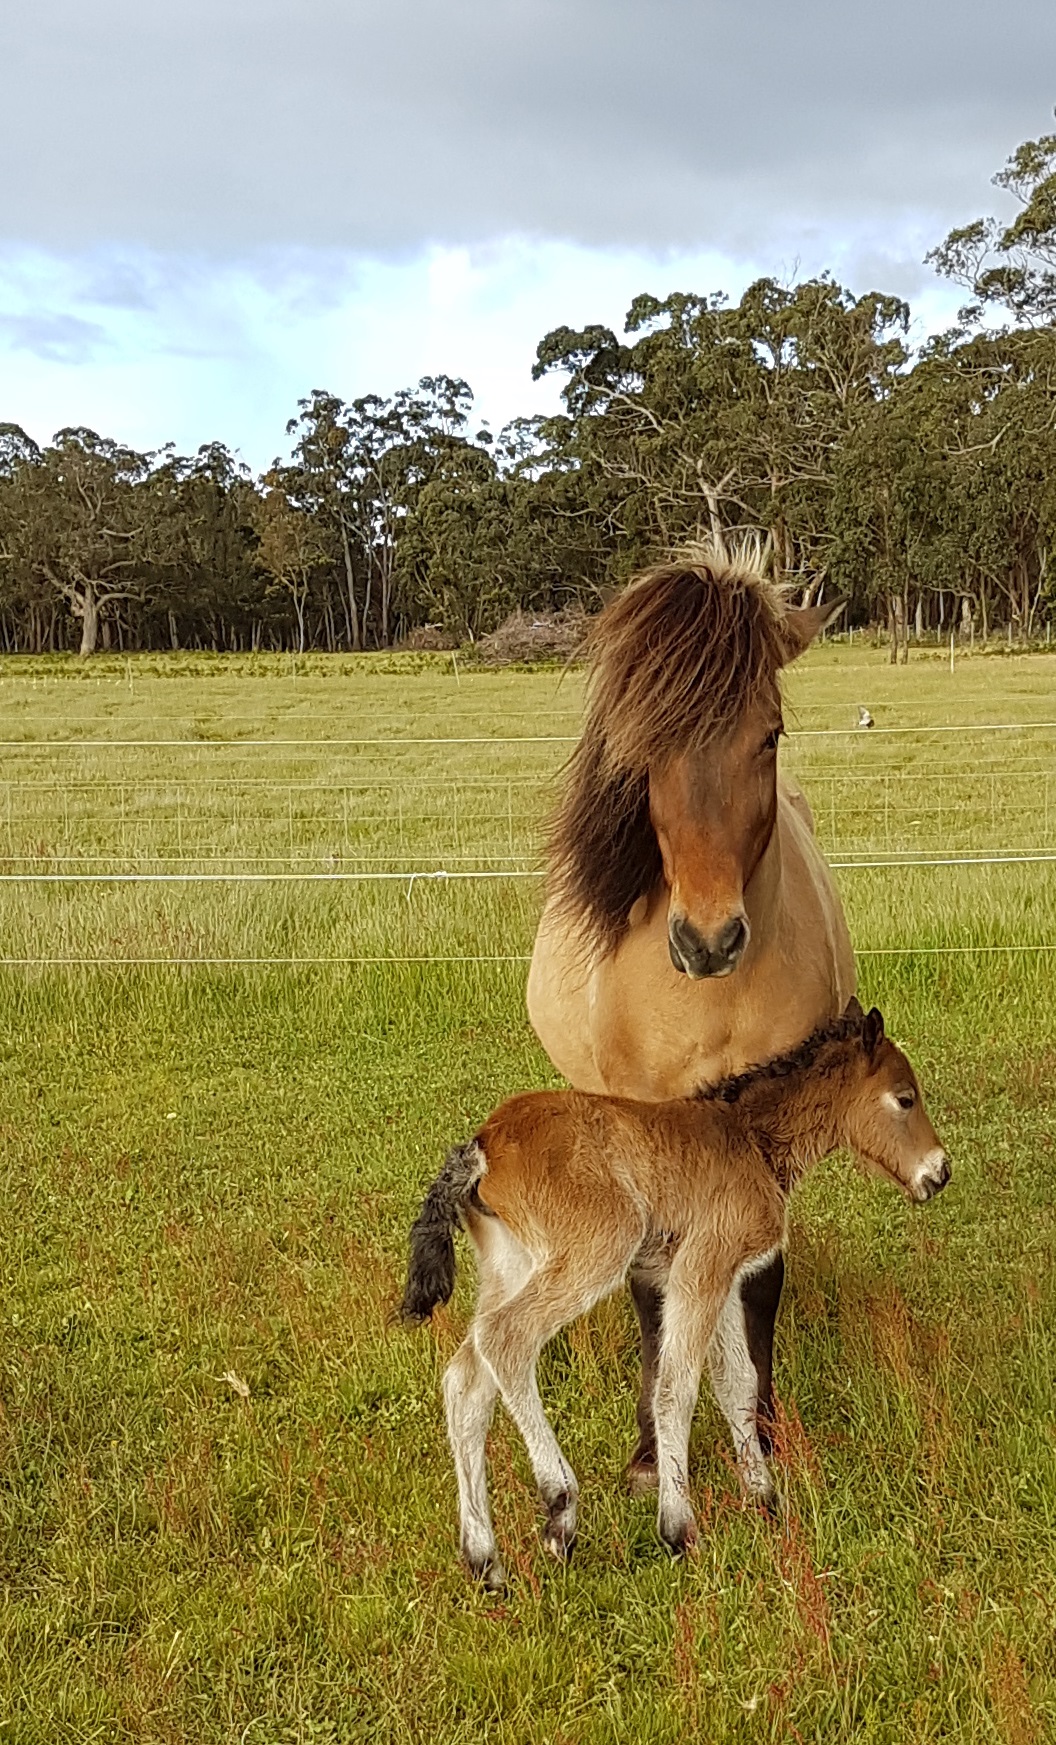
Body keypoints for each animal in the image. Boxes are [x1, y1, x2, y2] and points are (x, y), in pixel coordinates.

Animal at [403, 1005, 949, 1591]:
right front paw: (679, 1527)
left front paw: (764, 1498)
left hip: (510, 1263)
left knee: (467, 1378)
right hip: (598, 1246)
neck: (752, 1139)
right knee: (506, 1340)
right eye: (905, 1098)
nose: (940, 1173)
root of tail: (483, 1146)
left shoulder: (725, 1276)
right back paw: (560, 1507)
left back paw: (485, 1561)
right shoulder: (698, 1268)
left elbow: (737, 1382)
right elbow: (676, 1388)